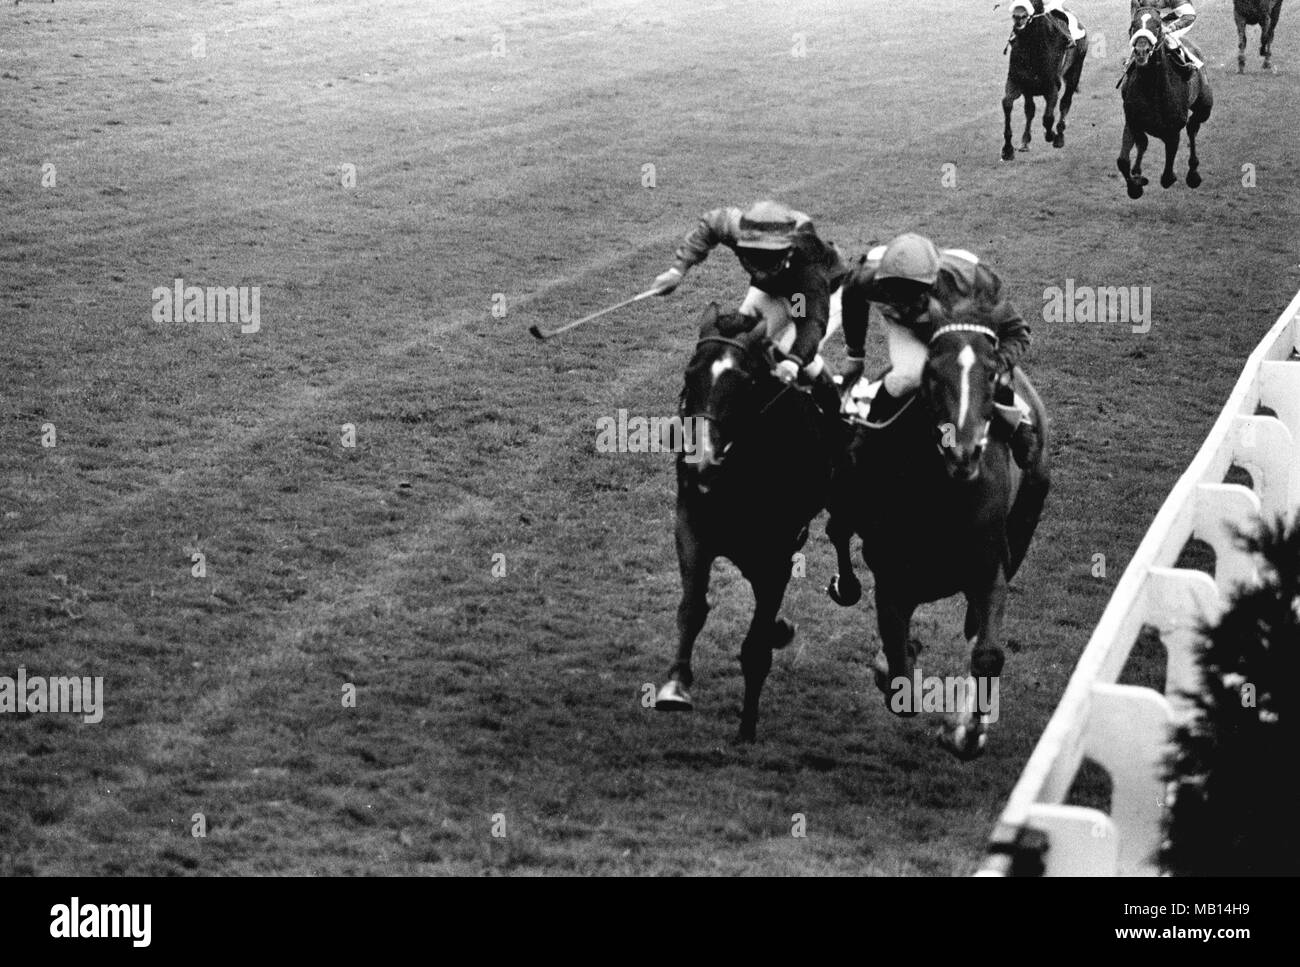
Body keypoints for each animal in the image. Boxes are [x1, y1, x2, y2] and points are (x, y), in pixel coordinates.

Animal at [655, 301, 837, 738]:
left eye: (744, 382)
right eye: (690, 374)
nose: (700, 462)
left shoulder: (776, 558)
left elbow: (755, 645)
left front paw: (747, 728)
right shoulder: (692, 526)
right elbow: (692, 608)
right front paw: (675, 685)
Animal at [826, 309, 1050, 764]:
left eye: (991, 376)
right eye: (933, 375)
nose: (963, 451)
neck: (943, 497)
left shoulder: (989, 572)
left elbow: (987, 653)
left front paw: (966, 734)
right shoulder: (893, 579)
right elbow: (899, 675)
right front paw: (895, 661)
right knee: (838, 534)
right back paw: (846, 585)